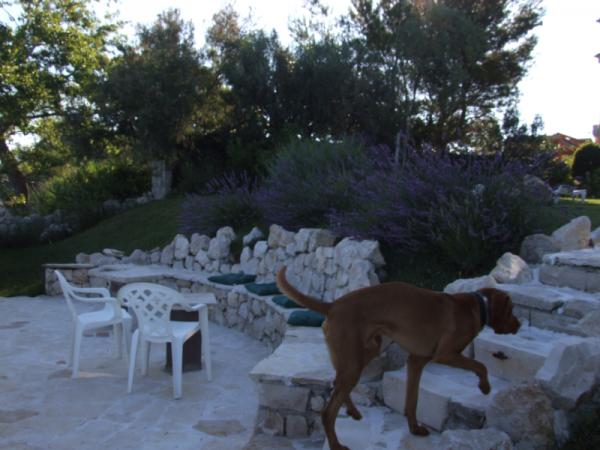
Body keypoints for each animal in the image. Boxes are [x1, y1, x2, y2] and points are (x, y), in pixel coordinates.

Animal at [276, 267, 520, 450]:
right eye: (511, 309)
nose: (519, 326)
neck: (477, 306)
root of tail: (333, 305)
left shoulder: (416, 360)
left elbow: (412, 400)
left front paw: (414, 428)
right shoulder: (446, 354)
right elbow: (480, 365)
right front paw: (485, 387)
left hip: (363, 354)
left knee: (336, 384)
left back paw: (353, 412)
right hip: (355, 362)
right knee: (328, 411)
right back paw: (336, 445)